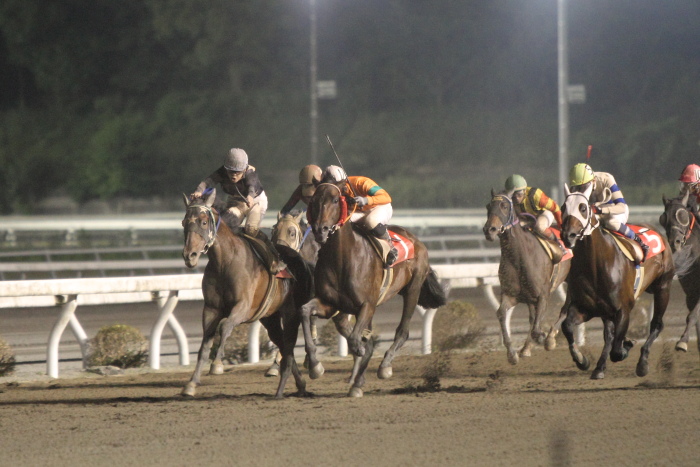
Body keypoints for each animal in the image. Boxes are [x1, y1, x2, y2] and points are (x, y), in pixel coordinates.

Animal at [180, 190, 312, 398]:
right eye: (184, 222)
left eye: (203, 222)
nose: (189, 256)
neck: (225, 262)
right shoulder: (211, 309)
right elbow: (204, 346)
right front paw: (191, 385)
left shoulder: (243, 308)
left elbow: (225, 327)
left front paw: (217, 364)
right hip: (270, 317)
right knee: (284, 345)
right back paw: (299, 384)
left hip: (290, 312)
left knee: (288, 343)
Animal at [288, 181, 446, 396]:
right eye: (313, 200)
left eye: (335, 200)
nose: (321, 230)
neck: (342, 259)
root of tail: (416, 240)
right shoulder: (330, 303)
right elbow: (305, 311)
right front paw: (314, 365)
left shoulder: (367, 305)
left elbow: (358, 339)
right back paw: (357, 382)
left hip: (412, 290)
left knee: (402, 331)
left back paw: (384, 366)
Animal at [484, 190, 572, 366]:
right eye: (488, 206)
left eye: (504, 206)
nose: (489, 229)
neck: (519, 257)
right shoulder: (512, 295)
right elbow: (501, 313)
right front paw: (512, 353)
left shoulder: (543, 295)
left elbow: (537, 328)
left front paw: (543, 337)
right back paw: (527, 348)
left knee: (566, 308)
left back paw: (550, 338)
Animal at [556, 184, 676, 380]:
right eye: (563, 207)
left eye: (583, 208)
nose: (569, 235)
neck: (596, 265)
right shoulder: (585, 308)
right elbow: (566, 326)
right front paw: (582, 360)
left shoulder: (623, 310)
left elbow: (617, 352)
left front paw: (628, 346)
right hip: (606, 311)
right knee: (609, 335)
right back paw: (599, 368)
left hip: (663, 287)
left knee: (657, 324)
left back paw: (642, 363)